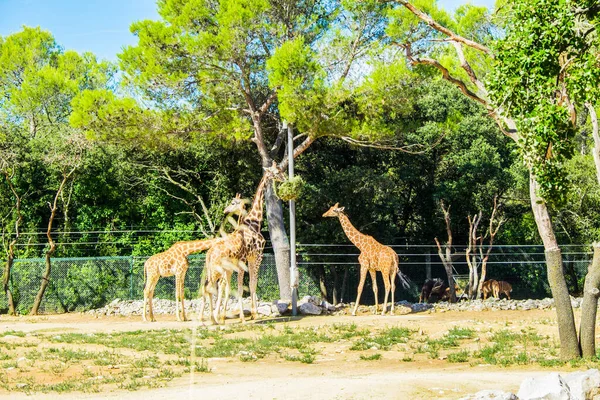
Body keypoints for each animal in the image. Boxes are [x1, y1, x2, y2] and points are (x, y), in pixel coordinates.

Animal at [141, 195, 246, 324]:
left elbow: (182, 293)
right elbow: (177, 293)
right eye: (233, 203)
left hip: (155, 276)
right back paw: (145, 318)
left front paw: (184, 317)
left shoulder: (183, 273)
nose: (225, 211)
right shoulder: (178, 272)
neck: (186, 250)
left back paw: (152, 318)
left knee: (151, 291)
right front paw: (178, 318)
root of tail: (145, 264)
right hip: (152, 274)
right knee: (146, 291)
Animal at [199, 162, 286, 324]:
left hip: (218, 270)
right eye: (277, 171)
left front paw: (250, 314)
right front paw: (250, 315)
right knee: (211, 287)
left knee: (212, 286)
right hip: (218, 270)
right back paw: (212, 318)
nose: (284, 178)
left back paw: (212, 318)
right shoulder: (256, 257)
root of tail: (209, 253)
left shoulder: (247, 260)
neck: (254, 222)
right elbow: (249, 285)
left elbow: (247, 285)